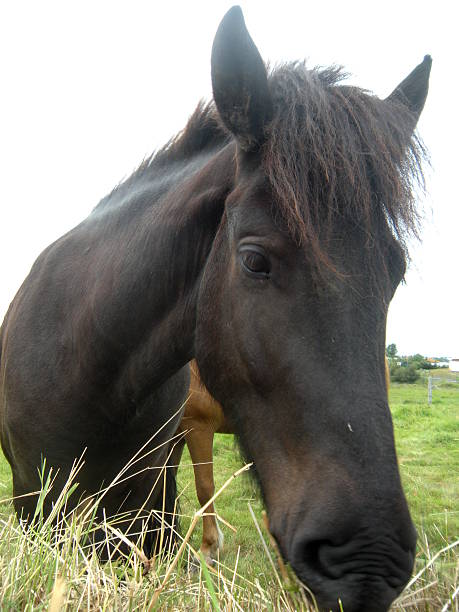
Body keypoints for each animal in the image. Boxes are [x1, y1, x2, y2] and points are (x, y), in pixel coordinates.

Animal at [0, 5, 432, 612]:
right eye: (253, 260)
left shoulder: (148, 511)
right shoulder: (40, 505)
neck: (85, 366)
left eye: (395, 272)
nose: (369, 563)